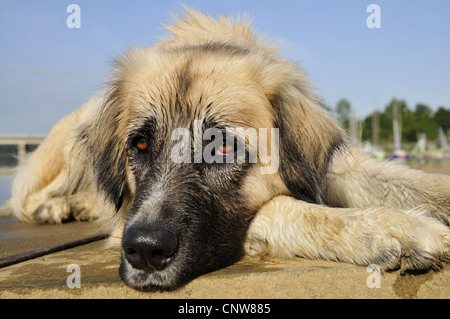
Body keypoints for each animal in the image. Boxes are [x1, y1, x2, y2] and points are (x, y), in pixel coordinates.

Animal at [8, 8, 448, 292]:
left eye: (220, 147)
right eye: (141, 144)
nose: (145, 250)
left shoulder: (340, 168)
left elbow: (420, 185)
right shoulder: (125, 222)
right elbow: (289, 208)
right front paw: (392, 228)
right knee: (25, 197)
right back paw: (58, 206)